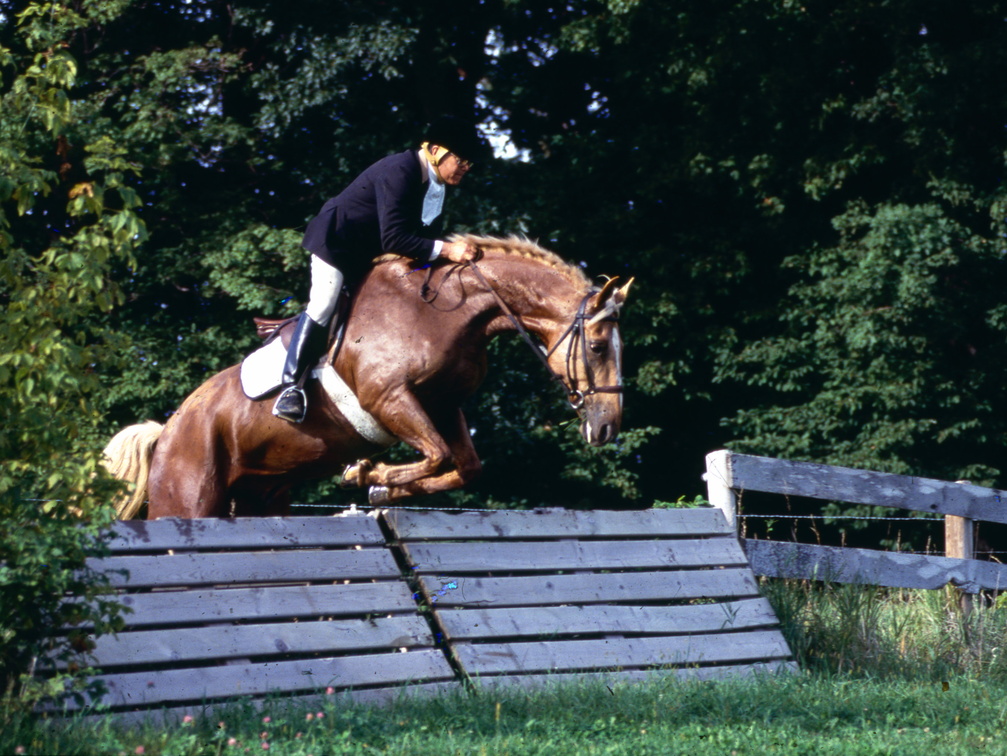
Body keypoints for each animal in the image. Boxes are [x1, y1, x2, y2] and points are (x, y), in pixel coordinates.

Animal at [106, 236, 632, 519]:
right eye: (597, 347)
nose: (607, 427)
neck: (449, 312)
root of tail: (168, 430)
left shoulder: (443, 405)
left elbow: (465, 466)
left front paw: (380, 486)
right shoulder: (389, 399)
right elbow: (438, 454)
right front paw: (365, 473)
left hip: (260, 497)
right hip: (186, 497)